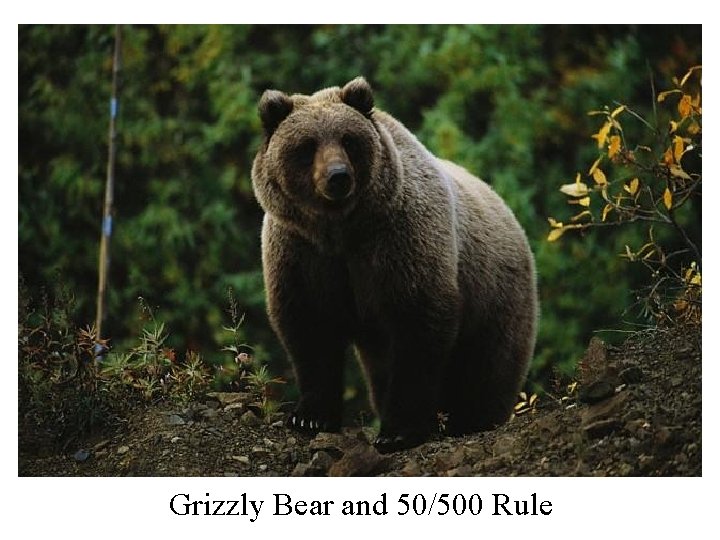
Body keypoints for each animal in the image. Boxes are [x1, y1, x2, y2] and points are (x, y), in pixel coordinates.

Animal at [251, 77, 537, 453]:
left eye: (348, 139)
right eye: (307, 145)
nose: (338, 176)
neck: (341, 229)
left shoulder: (400, 240)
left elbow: (418, 325)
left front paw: (399, 431)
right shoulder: (302, 250)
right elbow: (311, 327)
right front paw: (309, 416)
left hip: (494, 293)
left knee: (487, 366)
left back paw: (471, 419)